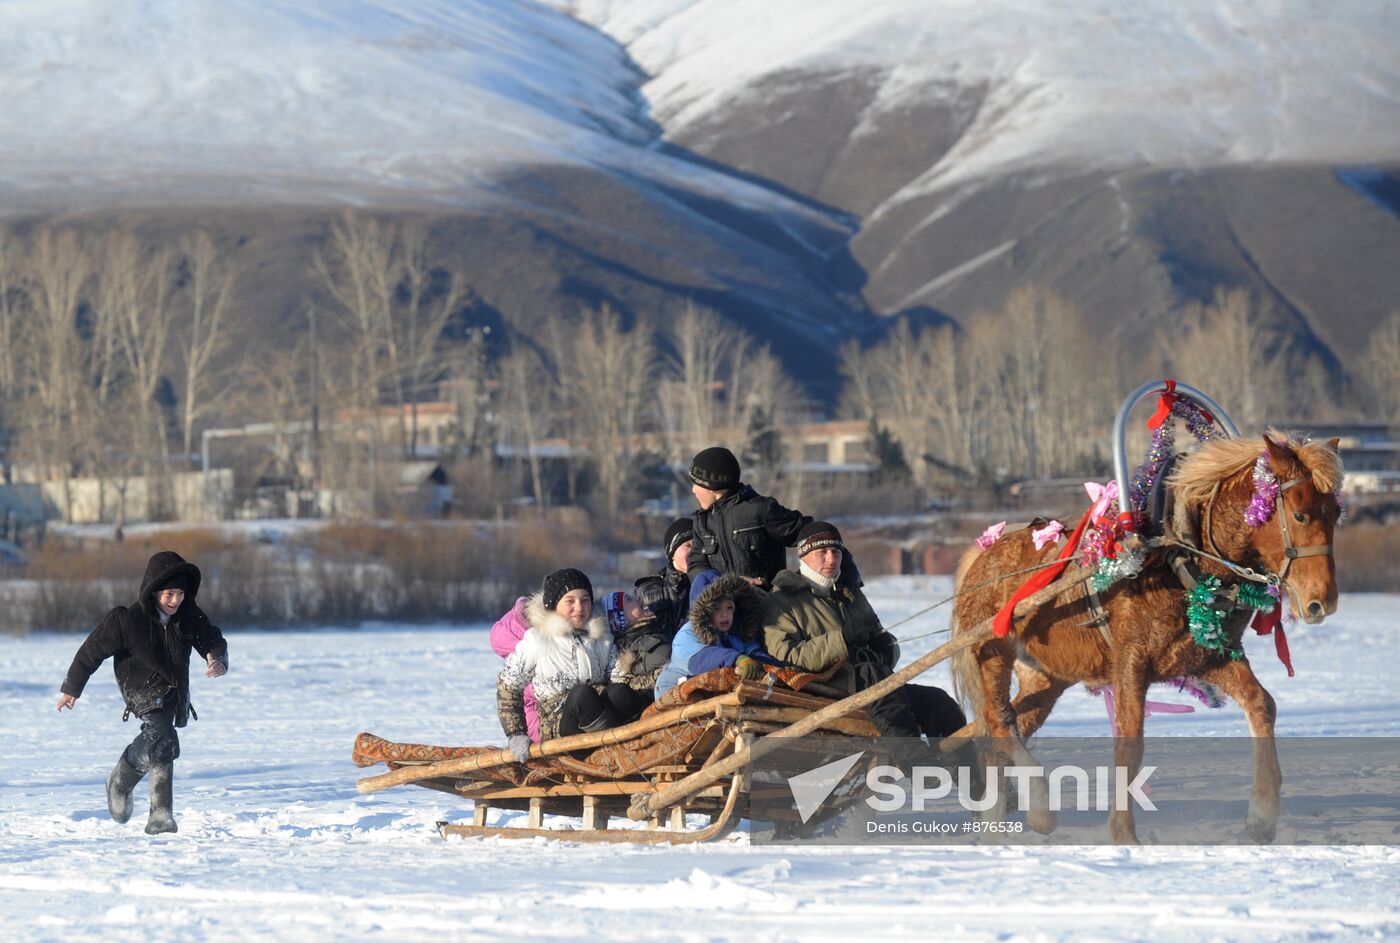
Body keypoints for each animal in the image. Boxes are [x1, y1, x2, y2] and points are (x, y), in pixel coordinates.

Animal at [952, 436, 1344, 839]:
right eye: (1300, 515)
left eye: (1336, 515)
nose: (1323, 602)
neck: (1179, 558)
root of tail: (983, 555)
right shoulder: (1131, 662)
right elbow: (1130, 746)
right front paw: (1123, 831)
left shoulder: (1211, 656)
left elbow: (1262, 705)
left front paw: (1262, 816)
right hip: (993, 650)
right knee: (1000, 721)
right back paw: (1040, 806)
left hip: (1045, 676)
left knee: (1004, 730)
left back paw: (996, 823)